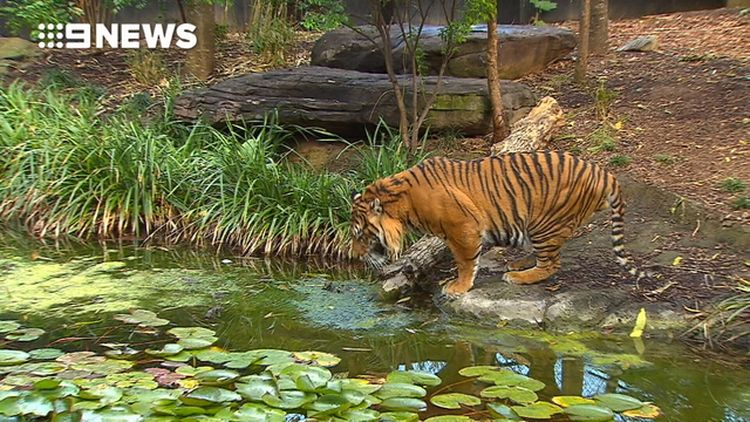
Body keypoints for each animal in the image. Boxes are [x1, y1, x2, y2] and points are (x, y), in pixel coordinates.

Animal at [352, 150, 648, 296]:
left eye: (360, 234)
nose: (353, 257)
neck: (401, 202)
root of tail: (604, 173)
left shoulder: (462, 228)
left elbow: (465, 261)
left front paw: (459, 287)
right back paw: (518, 264)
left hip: (544, 222)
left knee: (551, 264)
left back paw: (518, 276)